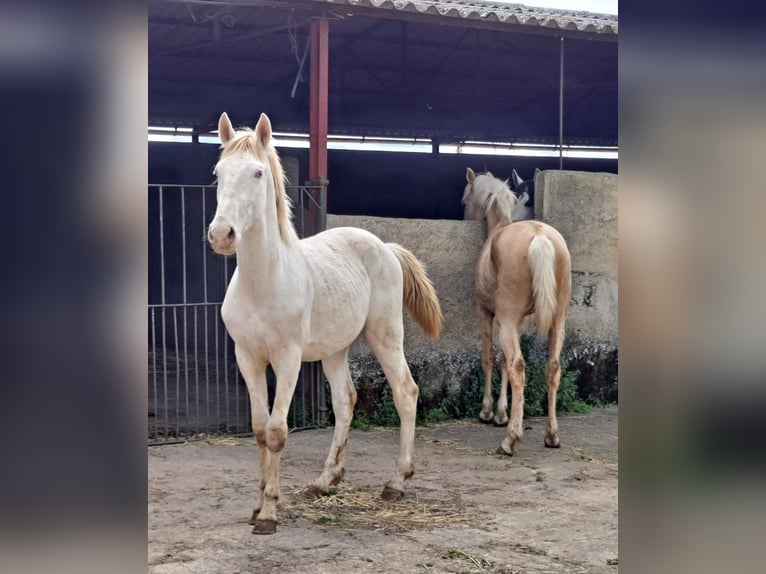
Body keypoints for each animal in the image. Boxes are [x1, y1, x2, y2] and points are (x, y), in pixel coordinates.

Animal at [207, 111, 444, 536]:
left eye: (257, 173)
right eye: (219, 173)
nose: (221, 235)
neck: (263, 282)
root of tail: (386, 248)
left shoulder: (287, 359)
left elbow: (277, 432)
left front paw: (269, 513)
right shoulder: (247, 358)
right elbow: (259, 430)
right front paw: (258, 504)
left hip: (385, 334)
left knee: (406, 392)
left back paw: (397, 482)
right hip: (335, 349)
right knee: (345, 399)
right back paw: (325, 480)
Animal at [462, 169, 568, 456]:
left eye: (465, 201)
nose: (464, 216)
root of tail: (539, 236)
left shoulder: (487, 314)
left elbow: (490, 359)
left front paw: (489, 412)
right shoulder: (513, 321)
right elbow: (503, 363)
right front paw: (501, 413)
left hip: (508, 321)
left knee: (518, 366)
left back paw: (510, 440)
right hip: (558, 320)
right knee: (552, 367)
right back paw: (551, 436)